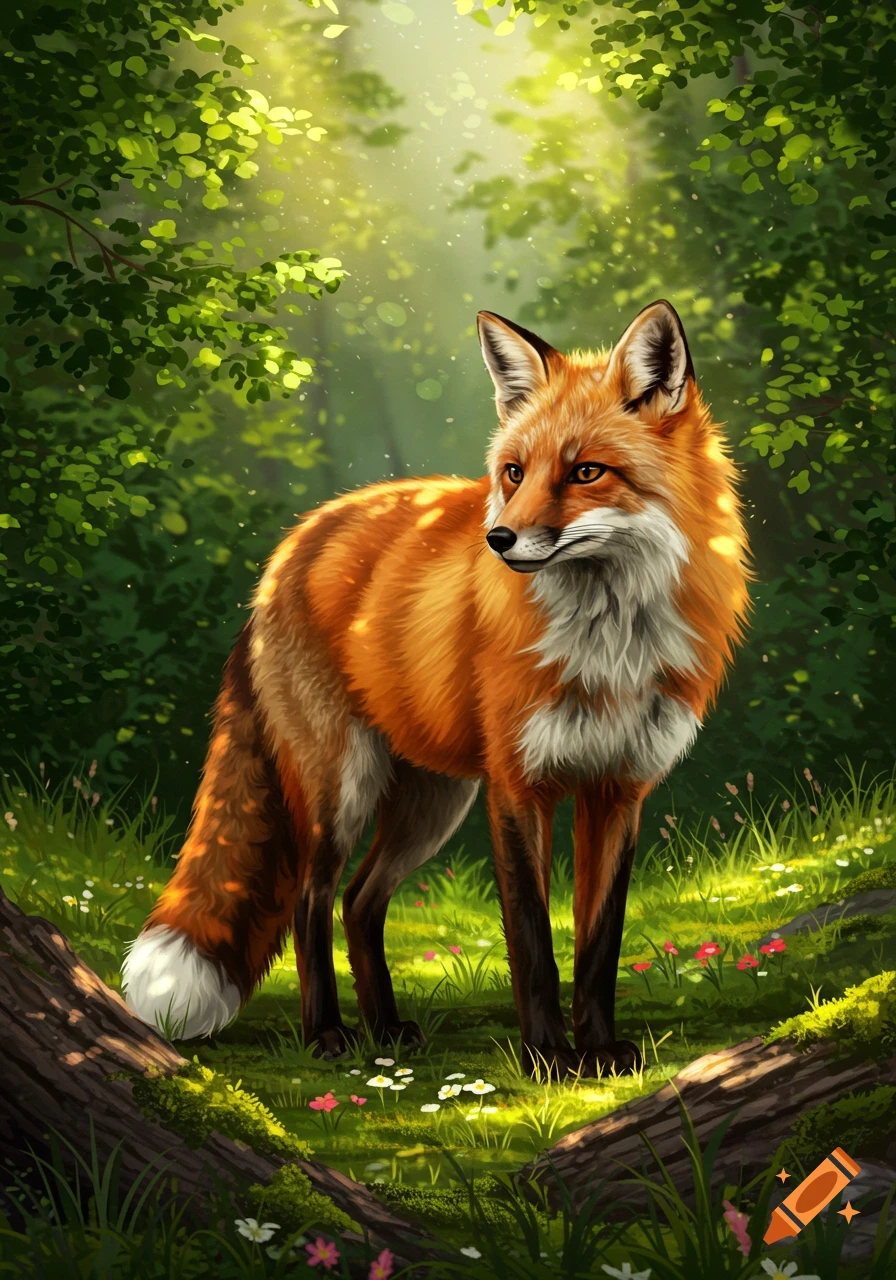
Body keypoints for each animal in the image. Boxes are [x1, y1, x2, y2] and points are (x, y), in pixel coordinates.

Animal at [122, 300, 750, 1077]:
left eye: (586, 472)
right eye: (514, 472)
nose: (499, 539)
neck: (609, 648)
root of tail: (292, 545)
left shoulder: (618, 790)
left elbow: (598, 944)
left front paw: (599, 1052)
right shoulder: (518, 785)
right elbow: (532, 940)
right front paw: (547, 1058)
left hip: (433, 801)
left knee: (360, 903)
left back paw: (386, 1028)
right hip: (343, 789)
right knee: (310, 898)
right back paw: (326, 1034)